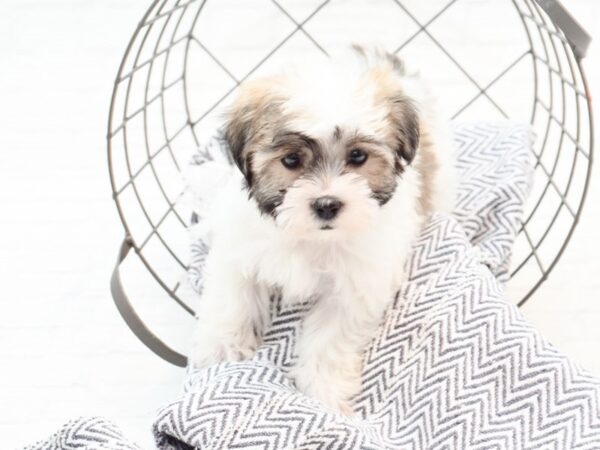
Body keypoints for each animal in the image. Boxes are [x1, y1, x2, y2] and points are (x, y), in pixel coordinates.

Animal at [190, 45, 452, 414]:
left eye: (357, 157)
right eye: (290, 160)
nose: (327, 204)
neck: (312, 237)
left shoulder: (357, 286)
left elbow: (331, 336)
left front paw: (323, 389)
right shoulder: (238, 247)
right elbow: (233, 296)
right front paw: (223, 346)